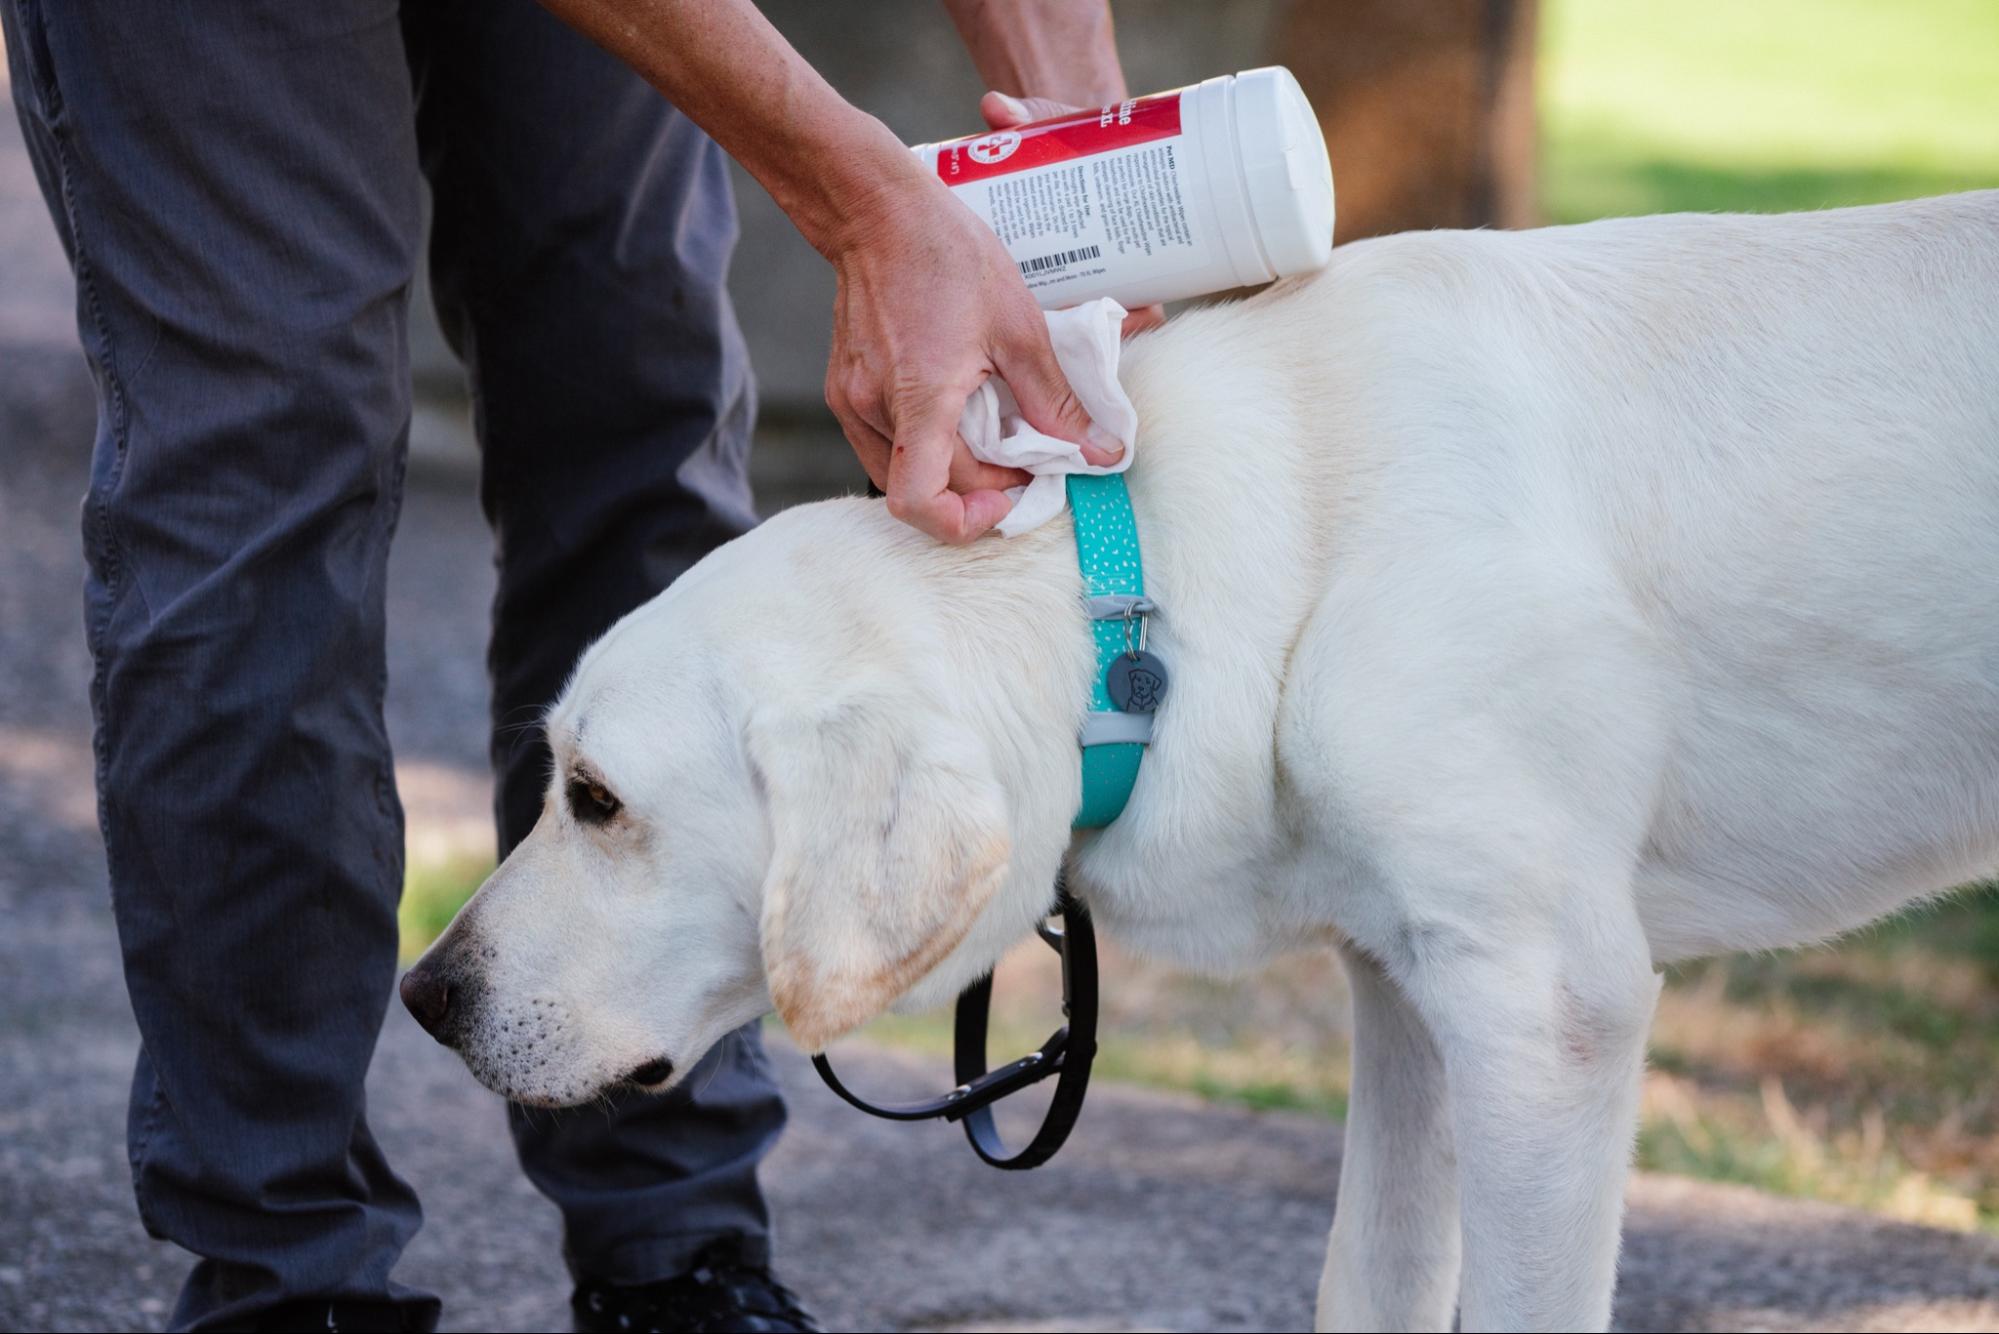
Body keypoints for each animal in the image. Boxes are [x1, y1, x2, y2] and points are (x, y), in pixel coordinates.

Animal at [401, 193, 1999, 1328]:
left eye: (598, 801)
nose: (421, 997)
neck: (1147, 593)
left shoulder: (1546, 1010)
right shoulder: (1410, 996)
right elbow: (1366, 1281)